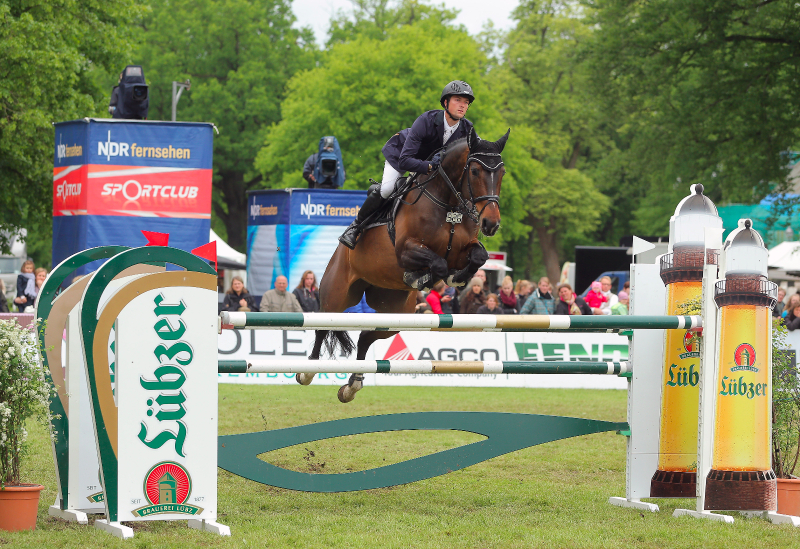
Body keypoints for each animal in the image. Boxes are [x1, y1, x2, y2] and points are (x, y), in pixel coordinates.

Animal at [296, 128, 510, 402]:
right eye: (474, 171)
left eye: (501, 173)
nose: (491, 224)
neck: (449, 203)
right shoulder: (405, 251)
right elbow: (438, 264)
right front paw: (422, 278)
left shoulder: (464, 250)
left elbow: (477, 257)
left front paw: (455, 278)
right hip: (337, 294)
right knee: (323, 326)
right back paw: (307, 371)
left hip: (397, 312)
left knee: (366, 336)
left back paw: (353, 384)